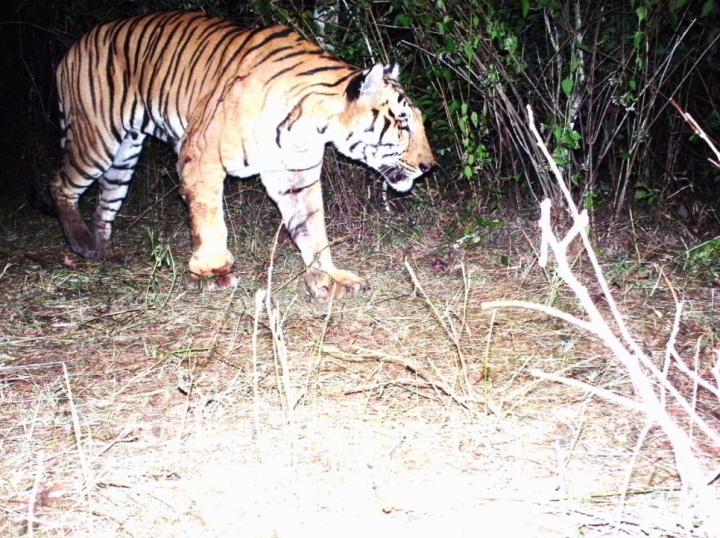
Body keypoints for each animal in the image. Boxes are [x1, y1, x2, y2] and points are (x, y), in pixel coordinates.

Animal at [50, 11, 435, 299]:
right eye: (403, 123)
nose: (429, 165)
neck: (313, 125)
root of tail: (71, 49)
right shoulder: (199, 156)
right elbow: (209, 219)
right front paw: (213, 270)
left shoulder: (297, 175)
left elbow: (313, 229)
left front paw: (327, 277)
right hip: (96, 137)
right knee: (59, 184)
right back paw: (82, 243)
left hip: (125, 155)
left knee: (105, 202)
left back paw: (103, 252)